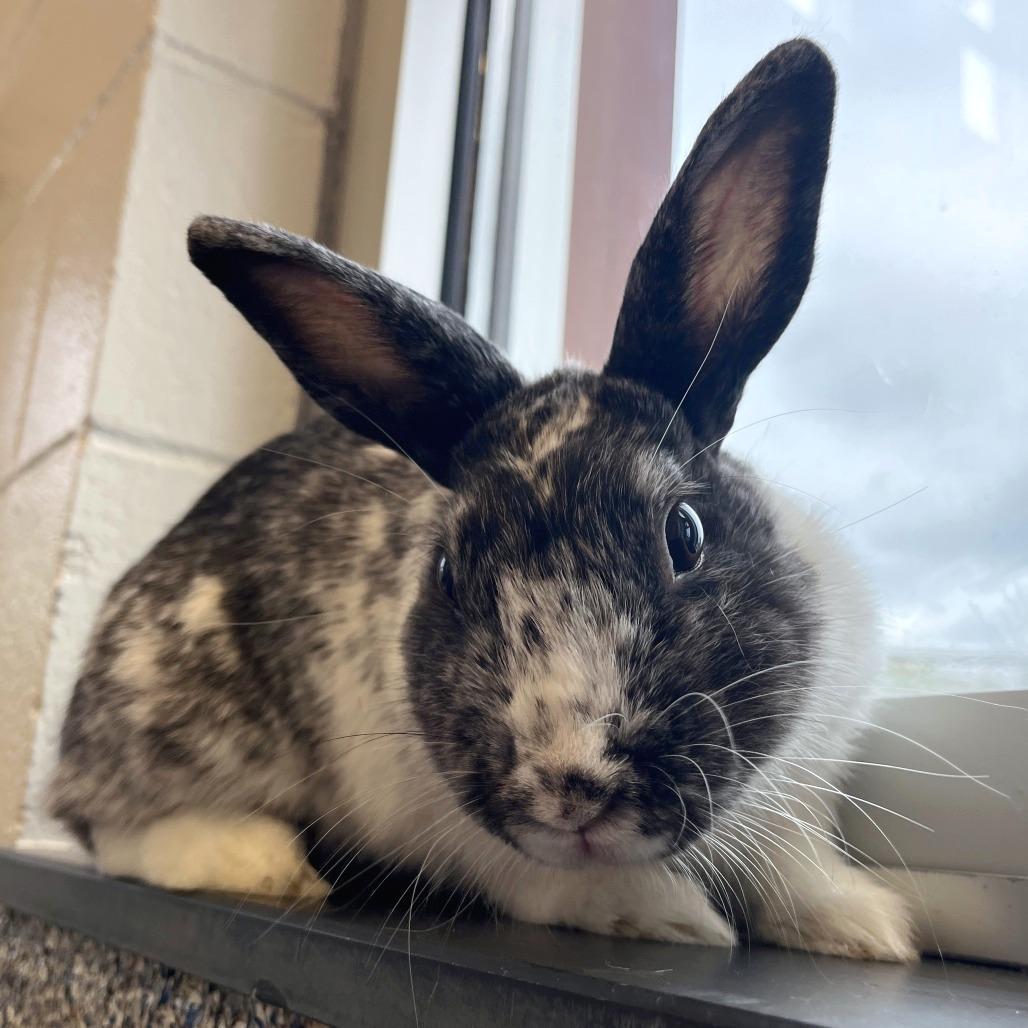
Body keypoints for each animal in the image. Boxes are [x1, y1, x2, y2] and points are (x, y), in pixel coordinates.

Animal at [49, 39, 915, 962]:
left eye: (685, 533)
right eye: (447, 571)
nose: (572, 786)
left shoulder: (800, 785)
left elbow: (796, 863)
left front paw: (866, 925)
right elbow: (553, 882)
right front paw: (666, 915)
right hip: (165, 726)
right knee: (113, 832)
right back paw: (259, 863)